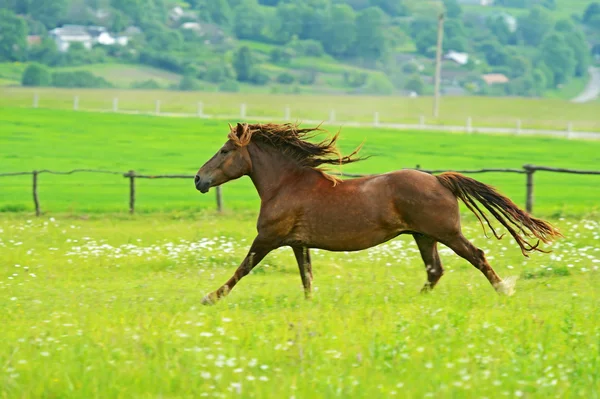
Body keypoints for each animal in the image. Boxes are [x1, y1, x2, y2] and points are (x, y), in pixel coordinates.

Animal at [193, 123, 564, 304]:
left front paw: (210, 297)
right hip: (423, 236)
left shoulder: (268, 238)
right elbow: (306, 276)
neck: (287, 185)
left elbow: (243, 268)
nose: (199, 179)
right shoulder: (298, 243)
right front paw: (310, 304)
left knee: (477, 256)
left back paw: (504, 290)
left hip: (446, 233)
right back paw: (414, 301)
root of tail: (439, 179)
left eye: (224, 150)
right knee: (435, 270)